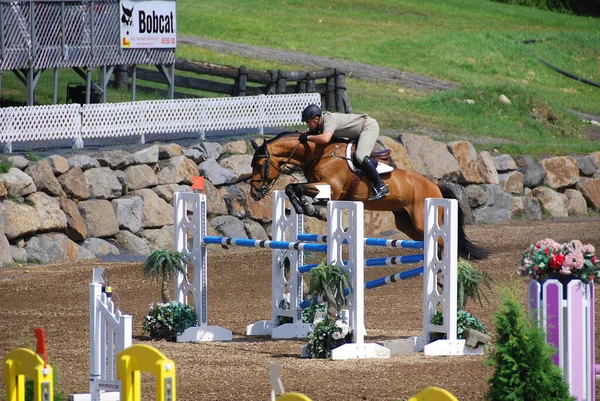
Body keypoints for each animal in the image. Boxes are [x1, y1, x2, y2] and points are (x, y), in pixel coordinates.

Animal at [247, 131, 488, 260]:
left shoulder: (331, 188)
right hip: (407, 224)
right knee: (435, 244)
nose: (255, 193)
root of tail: (435, 186)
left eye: (259, 165)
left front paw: (310, 209)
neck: (317, 153)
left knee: (444, 243)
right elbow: (293, 189)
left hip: (422, 220)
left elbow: (295, 187)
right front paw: (309, 209)